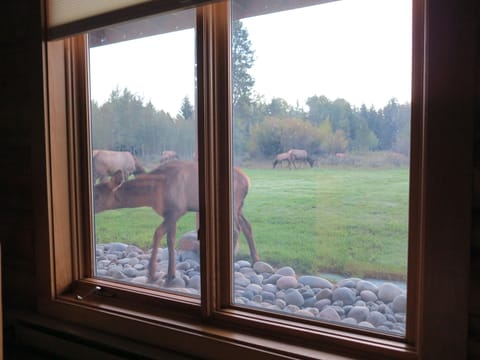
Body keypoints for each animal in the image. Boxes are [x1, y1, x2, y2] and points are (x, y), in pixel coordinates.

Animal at [93, 160, 258, 284]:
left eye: (97, 195)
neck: (152, 194)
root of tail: (248, 181)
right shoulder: (171, 214)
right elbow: (171, 239)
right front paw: (171, 274)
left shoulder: (177, 210)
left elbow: (158, 234)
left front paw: (152, 274)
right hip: (239, 207)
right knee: (247, 226)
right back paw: (255, 259)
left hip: (233, 204)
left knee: (236, 229)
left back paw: (235, 259)